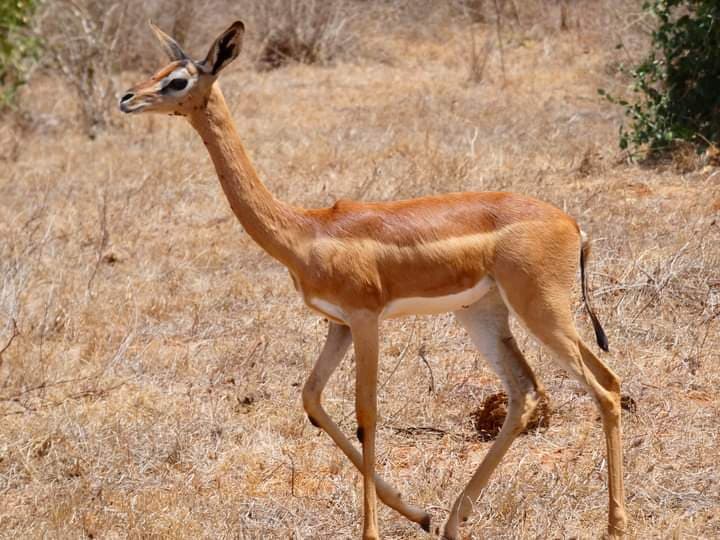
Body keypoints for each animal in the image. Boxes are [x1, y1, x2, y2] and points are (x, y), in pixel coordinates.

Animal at [119, 21, 627, 540]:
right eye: (159, 69)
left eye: (177, 80)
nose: (128, 98)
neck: (306, 231)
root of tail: (573, 225)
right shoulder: (338, 324)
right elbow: (312, 398)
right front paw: (417, 512)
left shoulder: (366, 319)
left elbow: (367, 413)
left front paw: (373, 529)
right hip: (486, 314)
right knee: (531, 391)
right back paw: (451, 521)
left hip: (542, 310)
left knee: (604, 388)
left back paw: (614, 524)